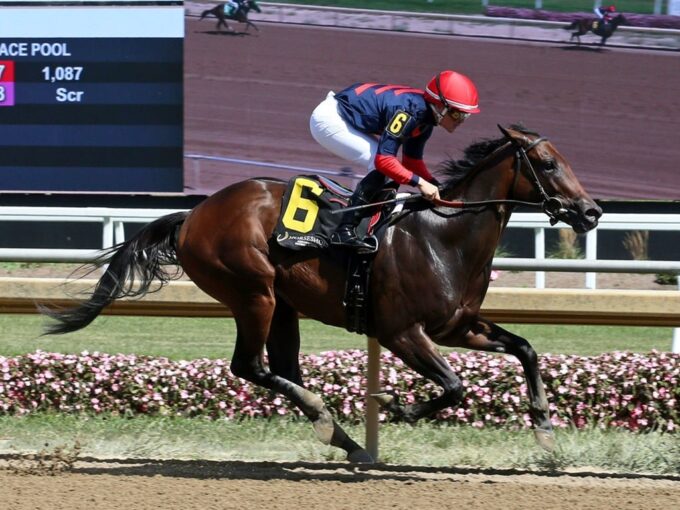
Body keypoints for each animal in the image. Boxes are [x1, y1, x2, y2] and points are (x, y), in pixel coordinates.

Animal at [39, 123, 600, 462]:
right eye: (548, 164)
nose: (591, 212)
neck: (443, 235)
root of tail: (194, 213)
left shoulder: (456, 325)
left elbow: (525, 349)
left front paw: (545, 428)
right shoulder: (401, 331)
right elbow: (454, 386)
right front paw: (396, 406)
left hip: (284, 304)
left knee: (281, 367)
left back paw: (346, 439)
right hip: (254, 292)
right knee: (250, 366)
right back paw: (329, 421)